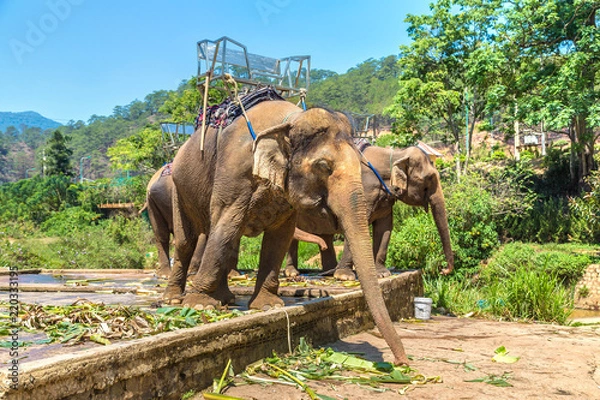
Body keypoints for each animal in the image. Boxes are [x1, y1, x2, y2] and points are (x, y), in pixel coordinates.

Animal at [163, 101, 408, 366]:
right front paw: (200, 307)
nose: (401, 362)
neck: (290, 121)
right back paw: (175, 299)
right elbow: (227, 224)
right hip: (178, 188)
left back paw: (225, 299)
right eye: (324, 166)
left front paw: (268, 306)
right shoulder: (235, 173)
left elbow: (279, 236)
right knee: (187, 241)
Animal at [284, 145, 452, 282]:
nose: (443, 270)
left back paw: (329, 272)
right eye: (429, 179)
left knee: (325, 236)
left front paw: (382, 274)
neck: (395, 154)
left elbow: (384, 228)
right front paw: (345, 276)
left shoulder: (386, 199)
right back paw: (293, 273)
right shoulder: (363, 191)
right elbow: (358, 225)